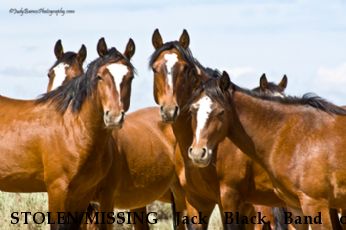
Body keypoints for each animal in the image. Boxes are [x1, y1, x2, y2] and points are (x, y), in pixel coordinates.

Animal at [0, 40, 134, 229]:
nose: (114, 116)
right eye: (99, 77)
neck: (71, 128)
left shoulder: (84, 193)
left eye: (130, 77)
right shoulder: (58, 189)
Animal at [187, 71, 346, 229]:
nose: (198, 153)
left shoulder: (315, 204)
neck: (295, 136)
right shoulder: (295, 207)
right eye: (192, 110)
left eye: (221, 112)